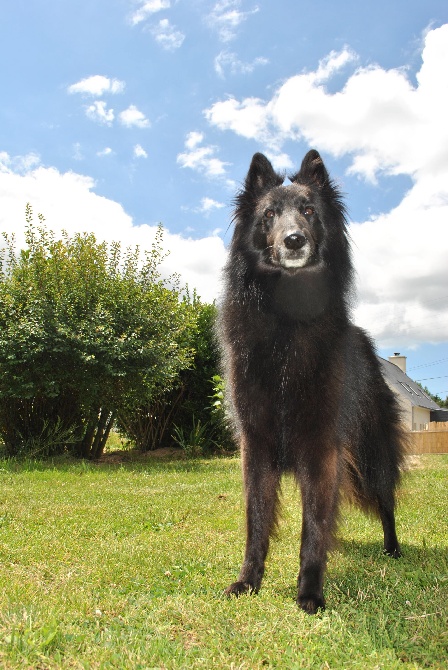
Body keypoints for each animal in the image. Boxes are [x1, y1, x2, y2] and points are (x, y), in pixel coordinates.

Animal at [219, 151, 408, 616]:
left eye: (308, 211)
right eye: (269, 214)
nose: (293, 241)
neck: (287, 319)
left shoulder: (321, 447)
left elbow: (315, 527)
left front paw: (309, 593)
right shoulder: (257, 446)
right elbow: (256, 522)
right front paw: (248, 581)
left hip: (373, 453)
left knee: (386, 500)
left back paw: (393, 548)